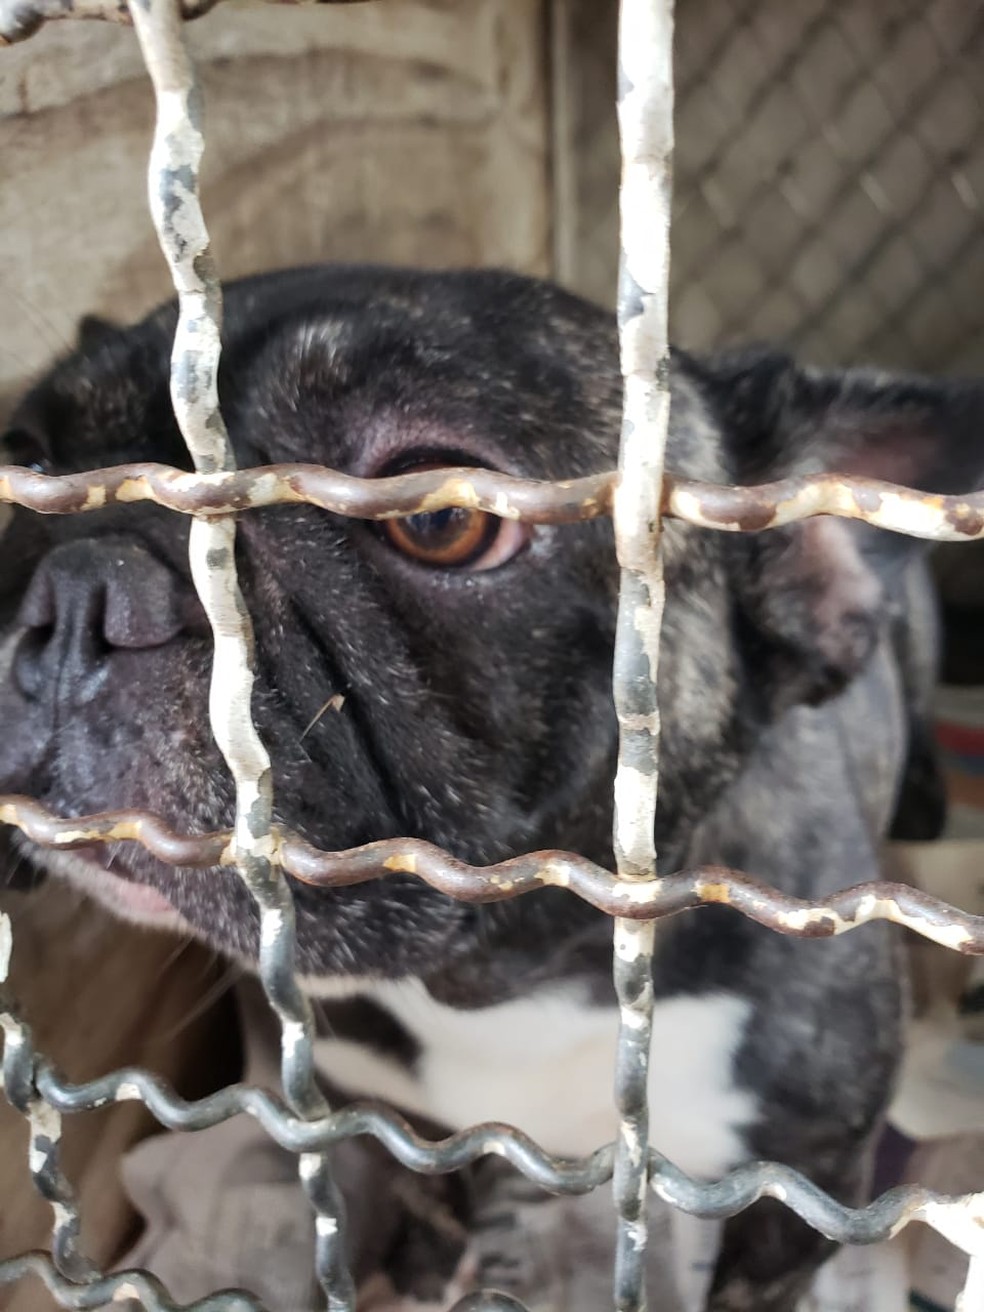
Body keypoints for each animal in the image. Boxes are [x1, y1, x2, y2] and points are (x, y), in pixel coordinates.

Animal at [1, 263, 984, 1301]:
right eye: (27, 465)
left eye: (440, 517)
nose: (83, 585)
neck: (518, 994)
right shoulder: (363, 1100)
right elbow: (415, 1171)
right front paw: (426, 1257)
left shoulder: (806, 1185)